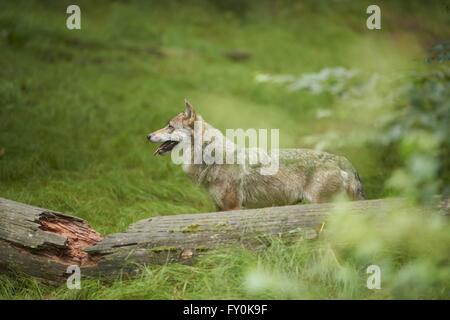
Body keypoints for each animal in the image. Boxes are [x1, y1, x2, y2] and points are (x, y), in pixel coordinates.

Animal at [148, 99, 366, 210]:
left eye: (169, 126)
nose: (148, 135)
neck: (212, 158)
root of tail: (343, 160)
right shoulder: (219, 208)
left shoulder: (233, 208)